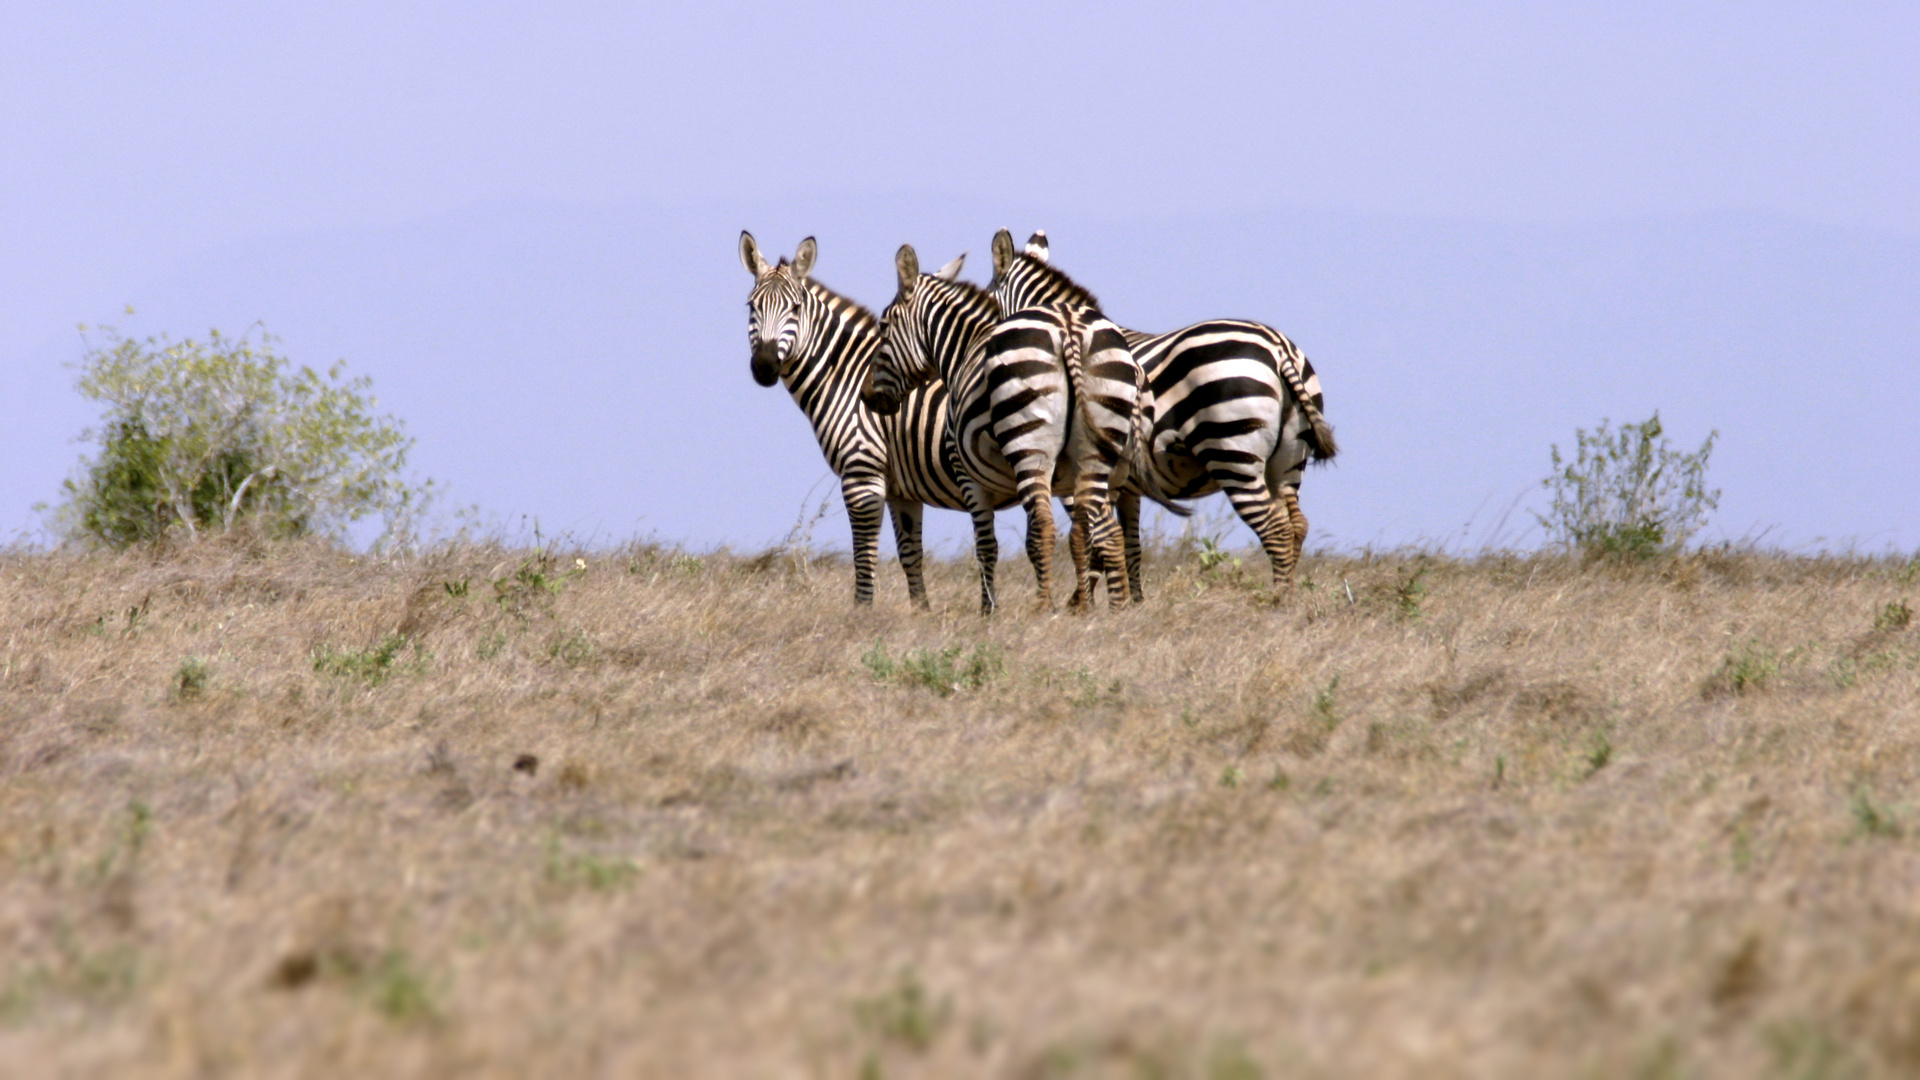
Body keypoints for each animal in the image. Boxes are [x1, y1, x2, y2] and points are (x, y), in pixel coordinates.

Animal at [737, 231, 1006, 611]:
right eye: (752, 307)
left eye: (795, 308)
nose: (763, 366)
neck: (847, 379)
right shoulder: (902, 490)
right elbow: (911, 554)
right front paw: (920, 613)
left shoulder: (861, 474)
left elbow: (863, 554)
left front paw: (861, 613)